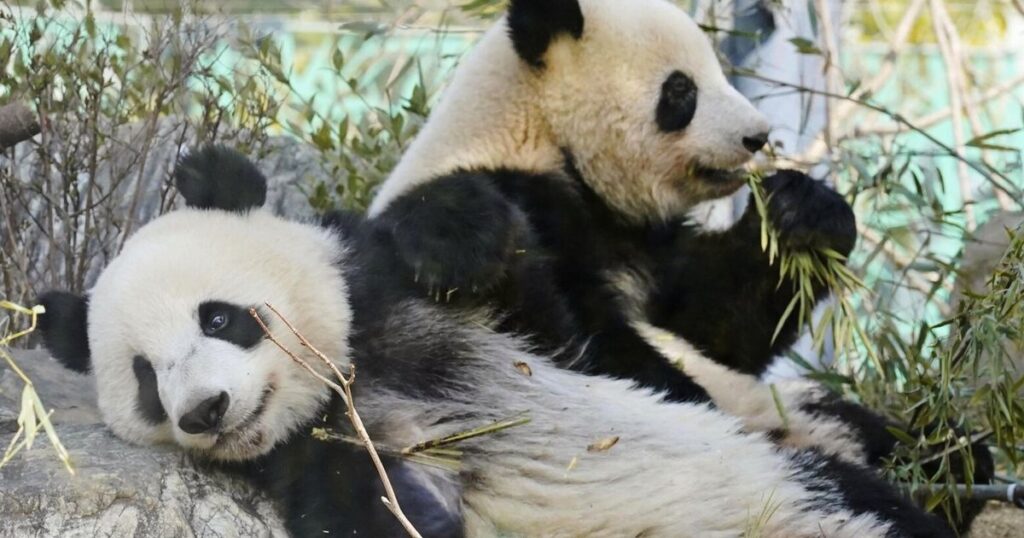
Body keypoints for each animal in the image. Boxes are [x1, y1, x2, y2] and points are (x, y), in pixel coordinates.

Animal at [36, 146, 951, 537]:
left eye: (219, 317)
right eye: (146, 380)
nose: (204, 410)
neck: (356, 377)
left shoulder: (428, 304)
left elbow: (589, 338)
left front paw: (453, 230)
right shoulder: (309, 456)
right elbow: (367, 510)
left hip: (784, 478)